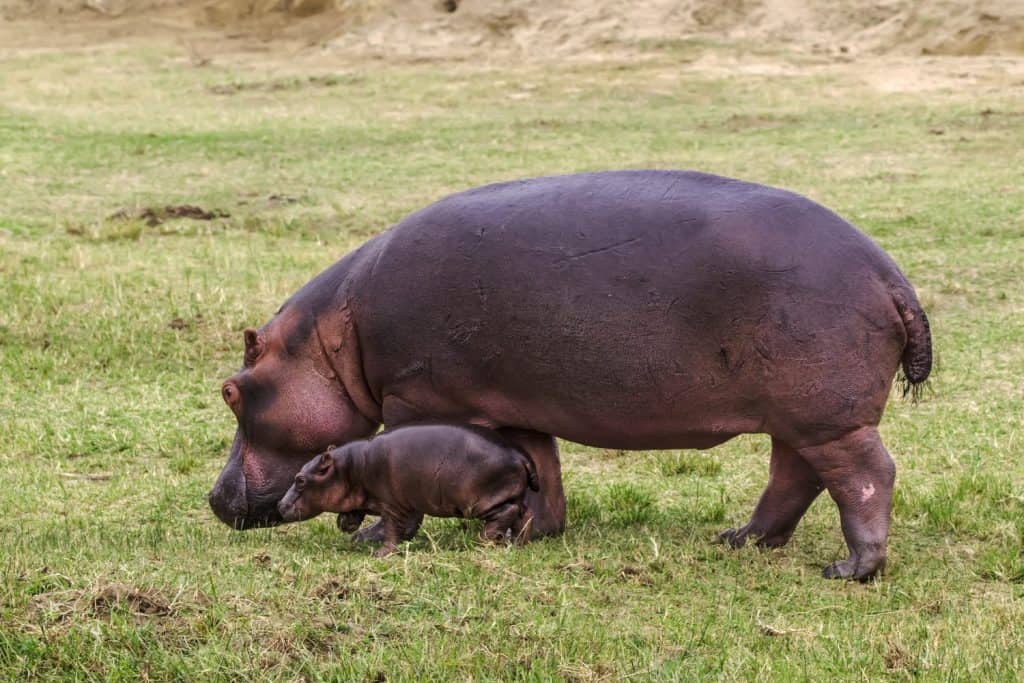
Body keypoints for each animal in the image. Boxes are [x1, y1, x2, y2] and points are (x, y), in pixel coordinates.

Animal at [277, 423, 540, 555]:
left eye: (300, 479)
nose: (280, 505)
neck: (348, 466)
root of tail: (520, 455)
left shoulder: (391, 503)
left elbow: (392, 528)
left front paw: (381, 553)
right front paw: (347, 525)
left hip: (480, 501)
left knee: (508, 513)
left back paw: (483, 540)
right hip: (511, 495)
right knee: (525, 513)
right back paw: (519, 544)